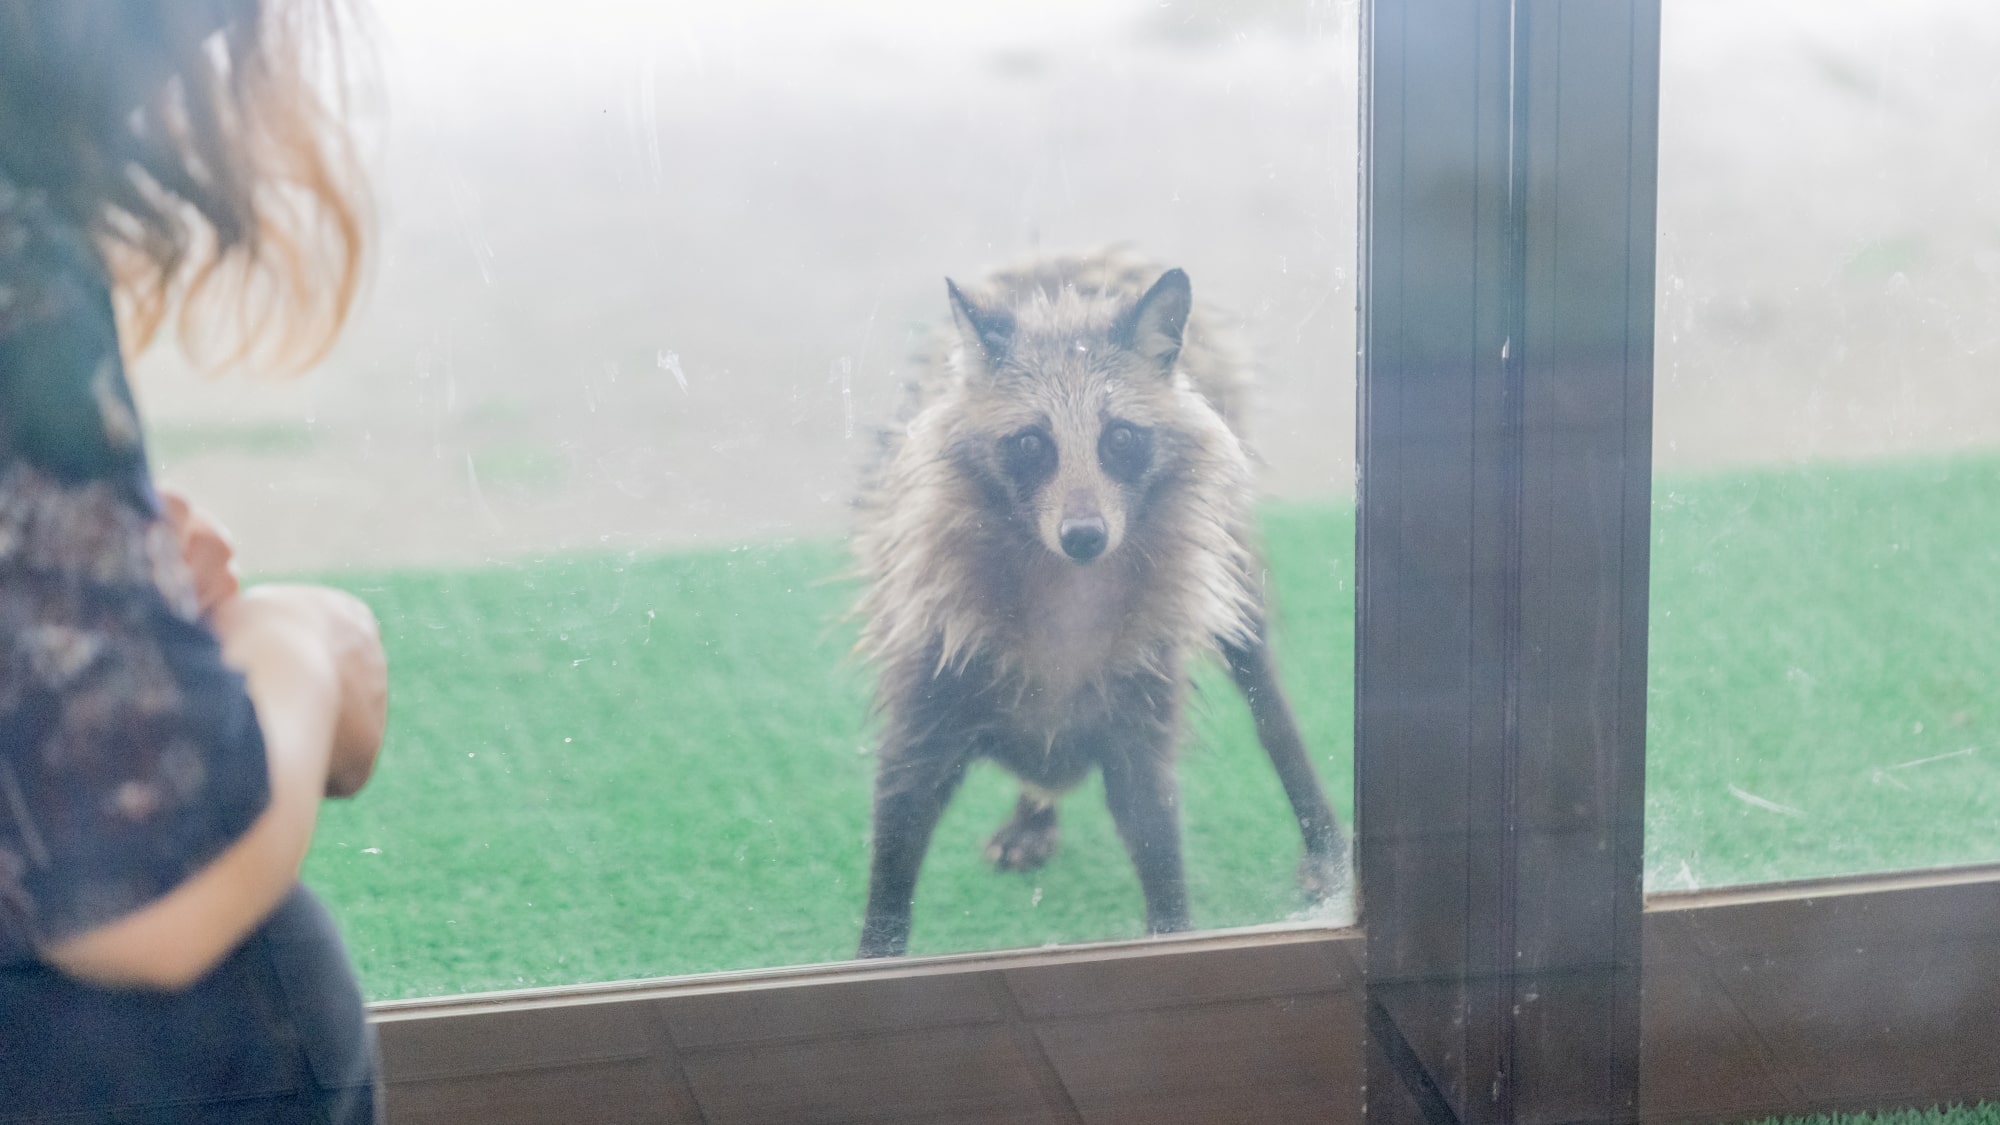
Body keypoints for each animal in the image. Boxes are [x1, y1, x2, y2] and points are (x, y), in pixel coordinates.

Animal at [852, 252, 1352, 952]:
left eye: (1119, 438)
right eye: (1031, 444)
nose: (1084, 536)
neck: (1065, 585)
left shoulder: (1143, 690)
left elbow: (1156, 831)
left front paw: (1173, 925)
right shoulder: (933, 658)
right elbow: (900, 812)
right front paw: (877, 945)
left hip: (1225, 559)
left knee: (1260, 679)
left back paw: (1316, 822)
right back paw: (1034, 806)